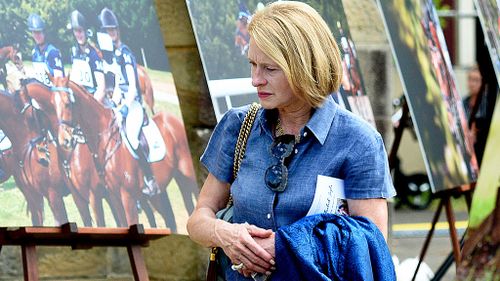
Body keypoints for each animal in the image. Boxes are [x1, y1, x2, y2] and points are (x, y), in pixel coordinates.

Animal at [52, 75, 197, 229]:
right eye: (53, 106)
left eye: (67, 104)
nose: (64, 140)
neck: (106, 140)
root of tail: (174, 121)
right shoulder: (114, 197)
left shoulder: (127, 196)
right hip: (177, 179)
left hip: (188, 174)